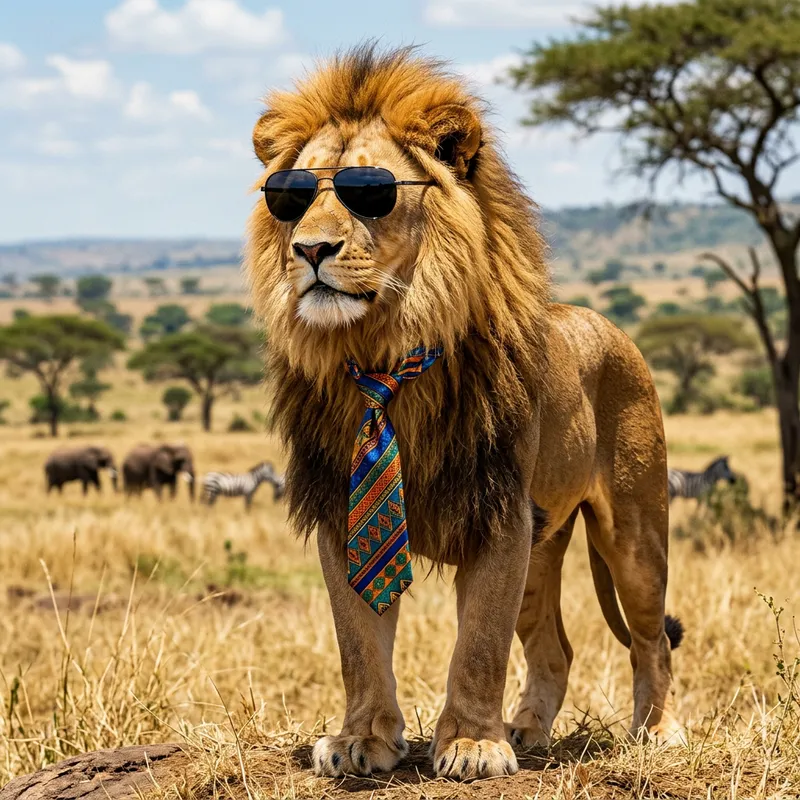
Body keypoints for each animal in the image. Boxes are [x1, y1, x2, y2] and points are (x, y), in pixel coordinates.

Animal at [245, 44, 683, 782]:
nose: (309, 249)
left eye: (371, 193)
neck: (383, 351)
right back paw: (529, 730)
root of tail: (606, 323)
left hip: (633, 535)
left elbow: (479, 642)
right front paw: (361, 739)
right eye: (291, 198)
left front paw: (473, 745)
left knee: (652, 639)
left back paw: (657, 730)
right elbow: (357, 643)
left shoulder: (497, 513)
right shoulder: (343, 513)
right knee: (554, 649)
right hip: (545, 545)